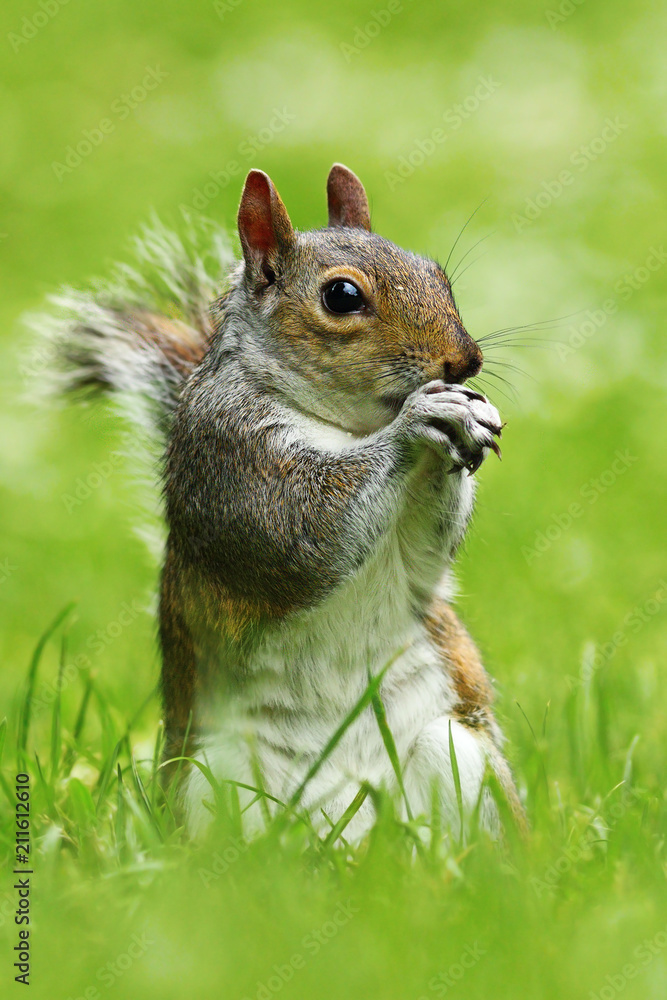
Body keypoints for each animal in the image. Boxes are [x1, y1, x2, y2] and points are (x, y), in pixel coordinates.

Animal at [45, 163, 525, 840]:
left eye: (439, 274)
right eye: (342, 296)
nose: (467, 361)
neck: (347, 426)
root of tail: (349, 839)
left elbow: (427, 550)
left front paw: (470, 416)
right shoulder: (229, 458)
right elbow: (304, 534)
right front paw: (422, 417)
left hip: (455, 752)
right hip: (213, 777)